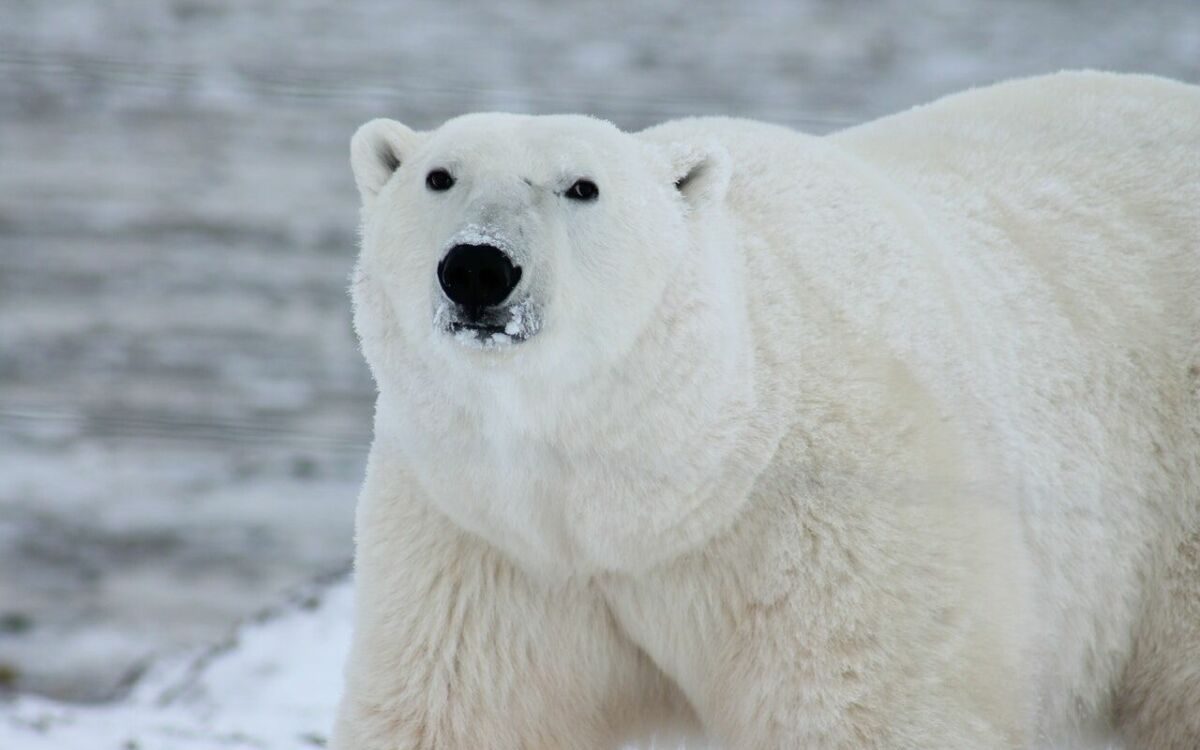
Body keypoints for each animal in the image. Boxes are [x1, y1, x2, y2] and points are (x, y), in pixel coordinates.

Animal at [331, 71, 1200, 748]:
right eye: (439, 176)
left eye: (582, 186)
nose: (478, 267)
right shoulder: (486, 543)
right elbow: (459, 712)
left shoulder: (835, 522)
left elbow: (867, 709)